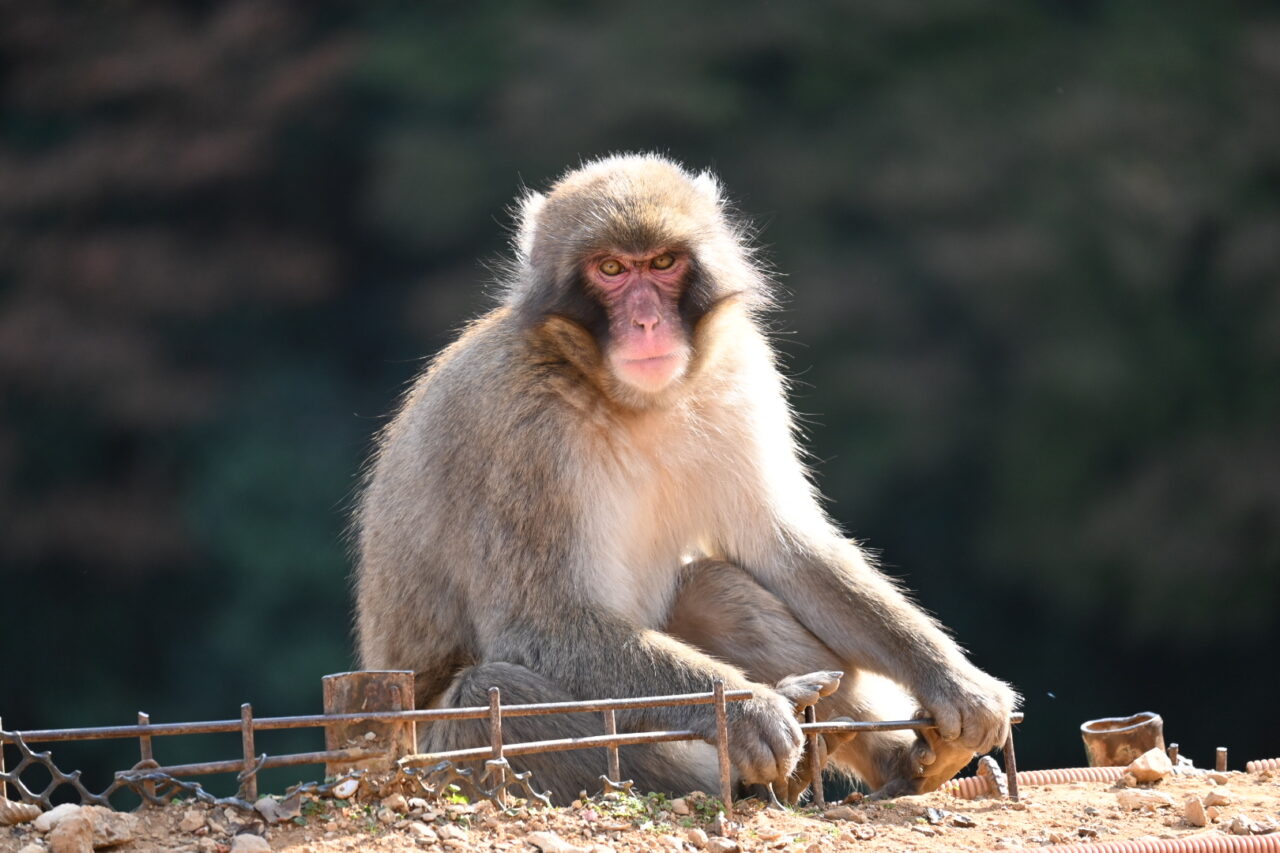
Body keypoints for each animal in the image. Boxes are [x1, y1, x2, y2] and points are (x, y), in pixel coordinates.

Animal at [353, 154, 1018, 804]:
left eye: (664, 263)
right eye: (612, 269)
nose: (647, 321)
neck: (624, 398)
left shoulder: (741, 371)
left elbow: (784, 547)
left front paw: (952, 681)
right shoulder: (518, 427)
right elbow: (541, 623)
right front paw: (747, 711)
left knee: (717, 590)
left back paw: (891, 763)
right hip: (441, 758)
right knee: (495, 694)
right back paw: (750, 776)